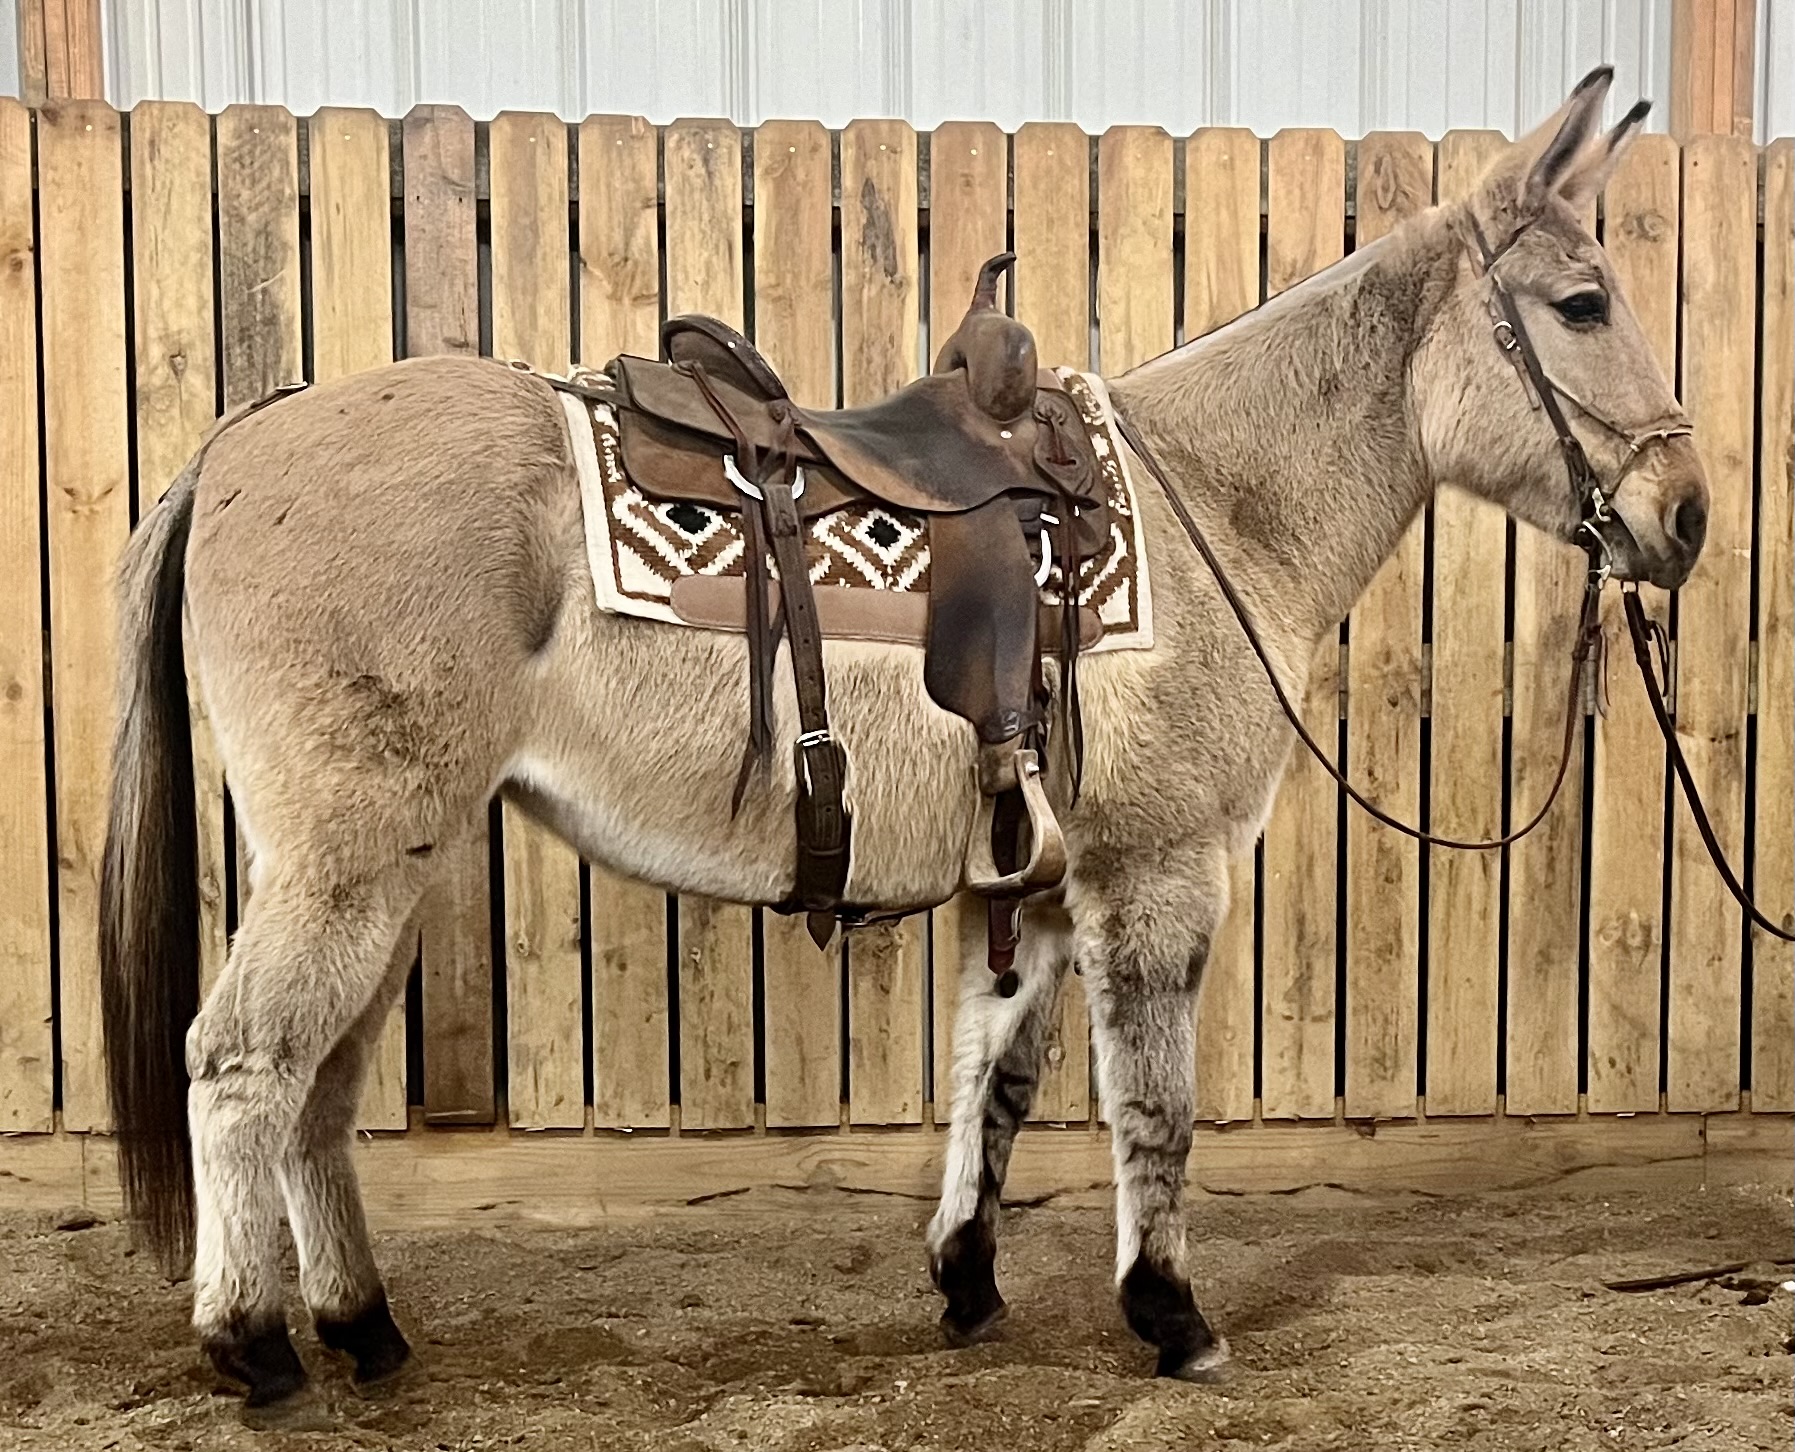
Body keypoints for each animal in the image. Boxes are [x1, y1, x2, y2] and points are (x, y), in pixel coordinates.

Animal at [100, 67, 1707, 1416]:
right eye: (1577, 302)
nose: (1684, 516)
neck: (1214, 501)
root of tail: (239, 442)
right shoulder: (1156, 877)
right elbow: (1154, 1106)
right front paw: (1170, 1314)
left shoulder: (1036, 891)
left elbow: (994, 1083)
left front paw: (966, 1283)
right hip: (350, 863)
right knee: (241, 1065)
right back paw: (252, 1346)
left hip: (392, 869)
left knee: (321, 1092)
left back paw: (365, 1328)